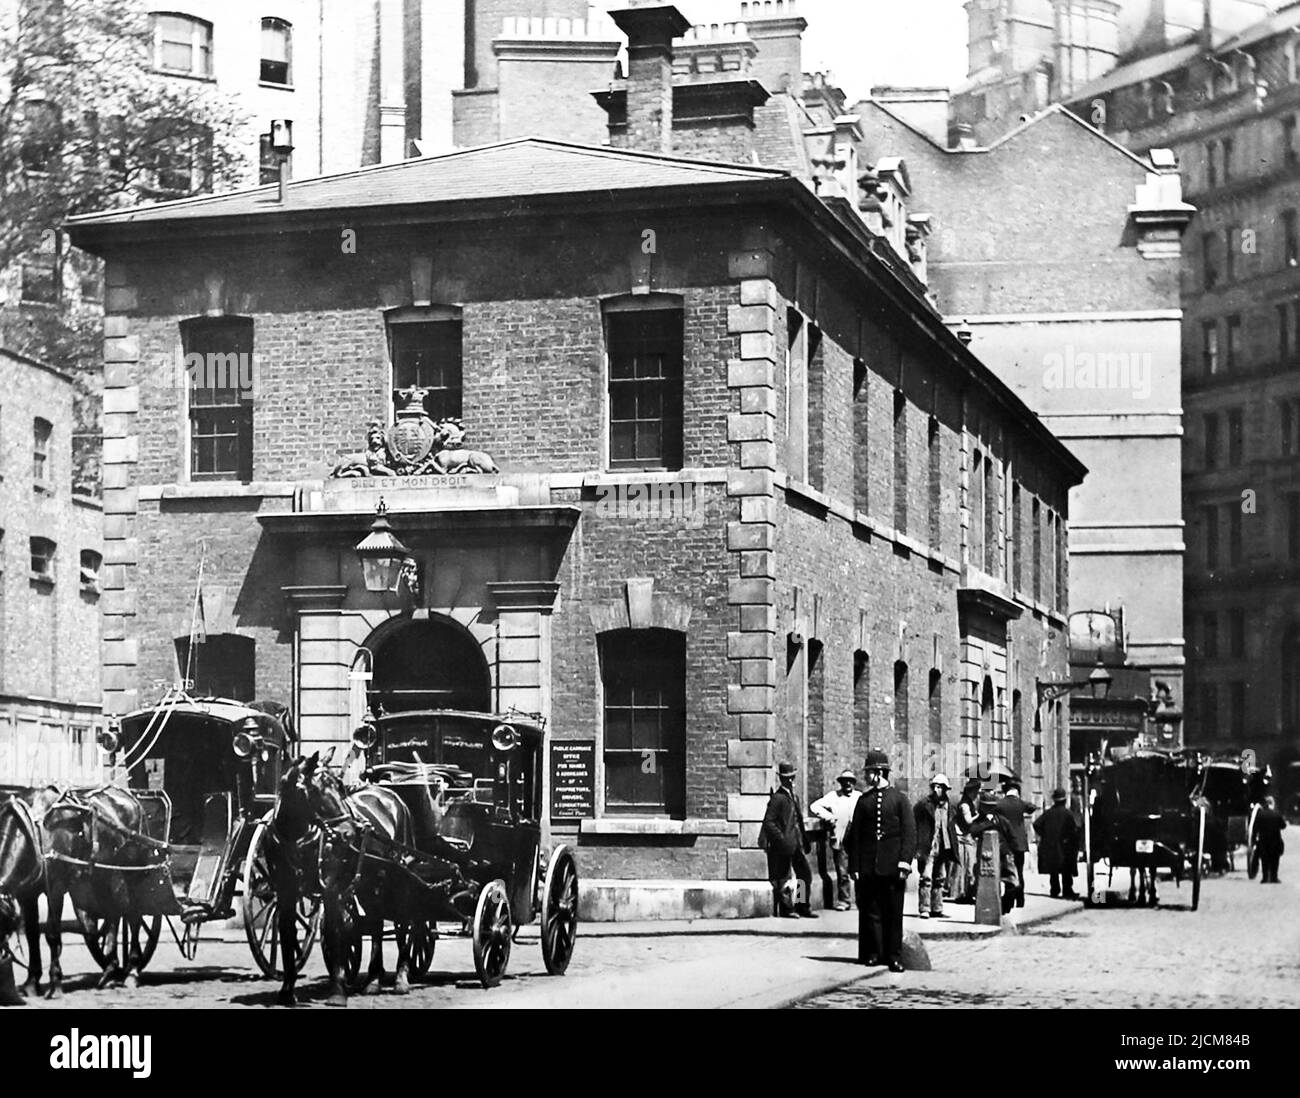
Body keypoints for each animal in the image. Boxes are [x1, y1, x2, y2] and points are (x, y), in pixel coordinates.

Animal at [271, 758, 418, 1008]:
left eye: (339, 786)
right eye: (317, 791)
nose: (350, 833)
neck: (299, 840)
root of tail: (392, 797)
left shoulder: (332, 889)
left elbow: (336, 933)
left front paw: (337, 991)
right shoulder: (285, 893)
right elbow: (287, 936)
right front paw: (287, 990)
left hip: (399, 878)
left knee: (404, 922)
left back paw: (401, 978)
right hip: (371, 882)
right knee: (377, 923)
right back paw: (373, 979)